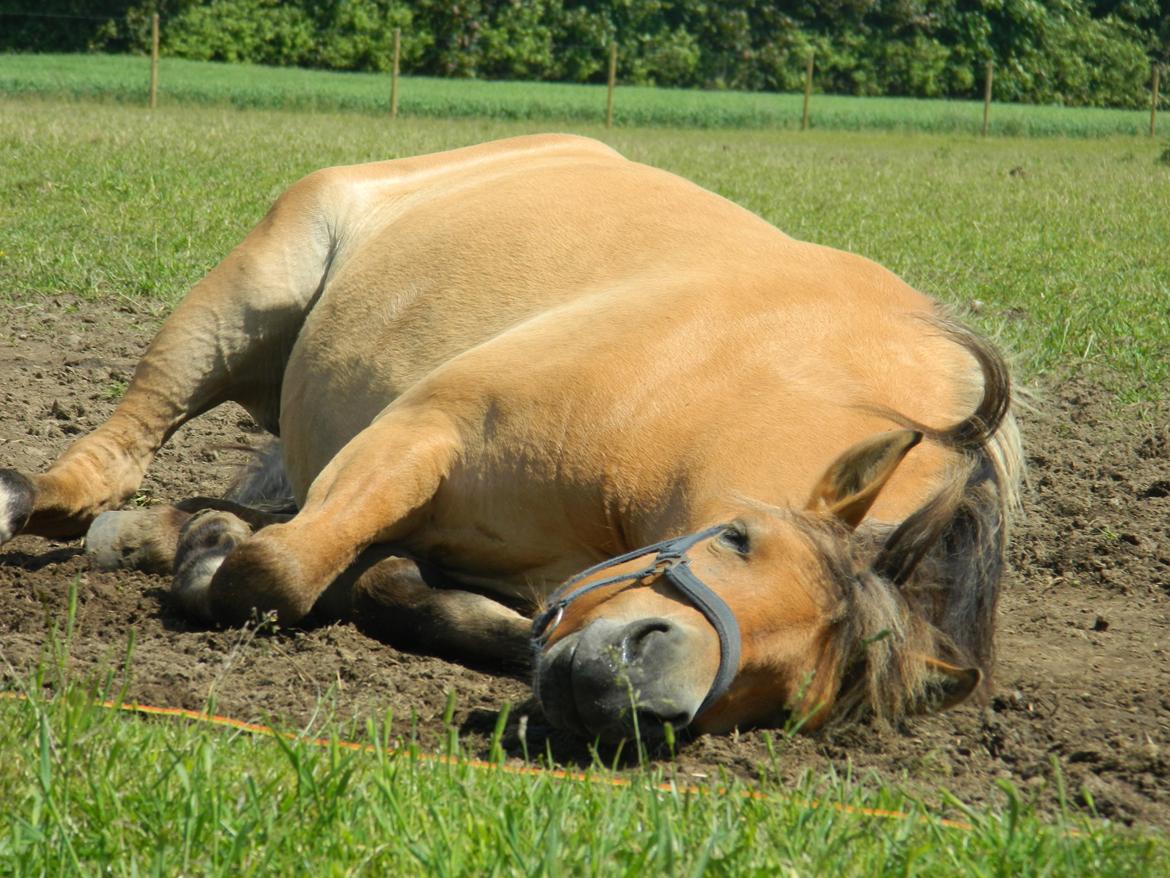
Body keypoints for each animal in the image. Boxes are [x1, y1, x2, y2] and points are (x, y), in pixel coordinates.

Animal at [0, 134, 1020, 744]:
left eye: (795, 697)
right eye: (738, 538)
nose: (631, 686)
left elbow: (399, 588)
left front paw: (224, 548)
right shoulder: (419, 434)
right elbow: (277, 573)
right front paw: (219, 565)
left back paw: (163, 531)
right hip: (242, 303)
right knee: (112, 460)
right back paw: (45, 501)